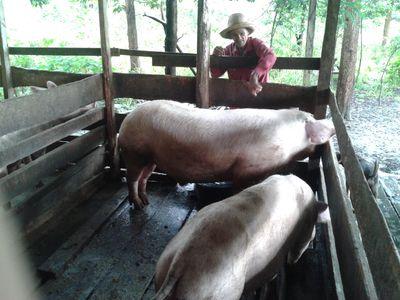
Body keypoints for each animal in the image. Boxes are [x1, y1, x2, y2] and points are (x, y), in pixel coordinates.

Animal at [118, 101, 334, 209]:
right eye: (312, 120)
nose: (332, 129)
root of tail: (127, 119)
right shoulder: (246, 169)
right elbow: (239, 188)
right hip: (134, 153)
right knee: (132, 178)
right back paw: (138, 205)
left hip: (150, 158)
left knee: (144, 177)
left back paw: (146, 201)